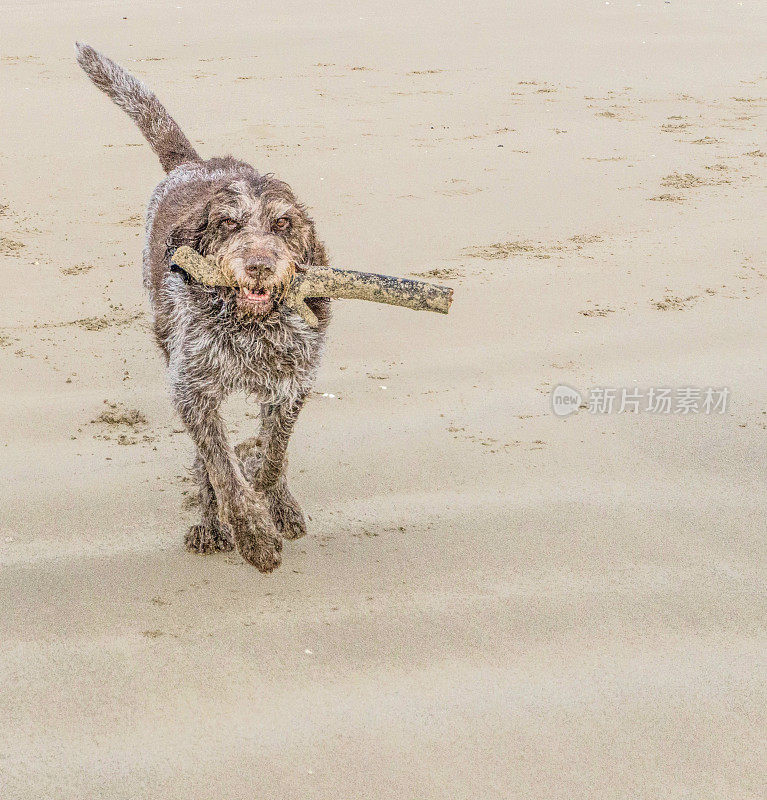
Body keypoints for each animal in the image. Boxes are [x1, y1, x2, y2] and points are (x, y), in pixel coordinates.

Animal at [76, 43, 332, 572]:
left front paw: (269, 490)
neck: (250, 328)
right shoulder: (193, 389)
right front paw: (252, 533)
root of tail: (192, 165)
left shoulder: (293, 384)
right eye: (229, 224)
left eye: (282, 224)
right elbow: (221, 467)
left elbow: (273, 454)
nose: (259, 265)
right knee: (204, 461)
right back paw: (211, 521)